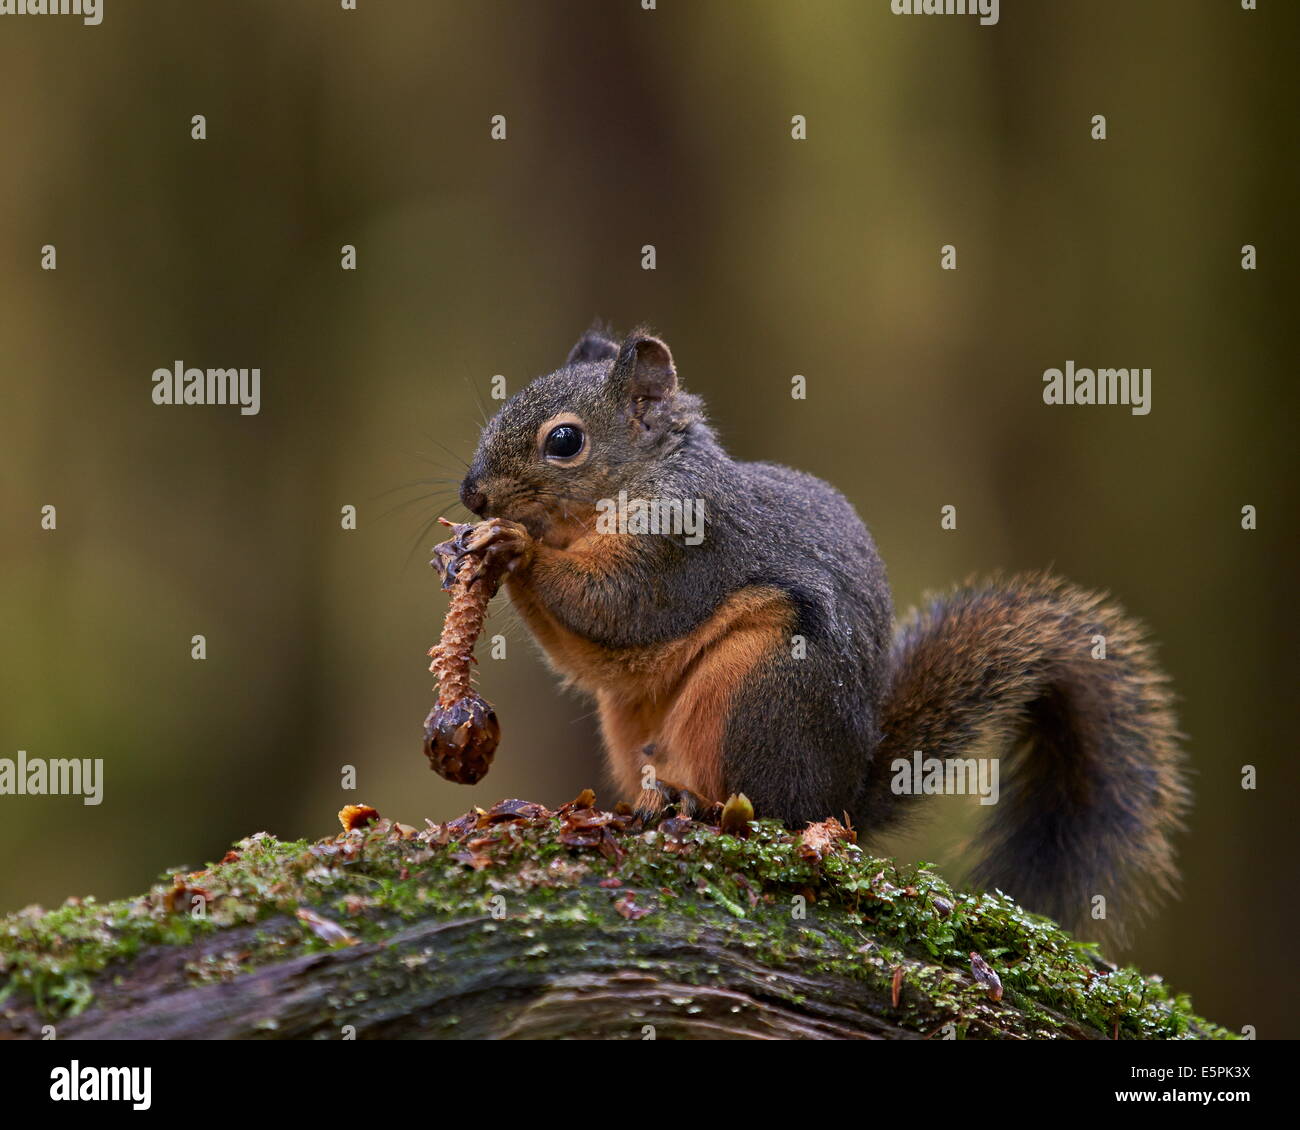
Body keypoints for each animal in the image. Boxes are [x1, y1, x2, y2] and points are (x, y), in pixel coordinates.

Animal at [443, 325, 1190, 934]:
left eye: (564, 441)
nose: (472, 494)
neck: (644, 477)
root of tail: (841, 799)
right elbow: (590, 656)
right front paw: (460, 549)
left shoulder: (682, 546)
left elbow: (616, 604)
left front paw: (514, 544)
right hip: (632, 722)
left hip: (762, 685)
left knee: (767, 808)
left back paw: (698, 804)